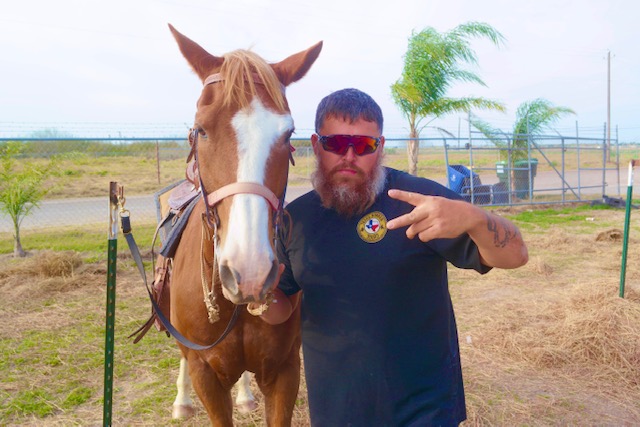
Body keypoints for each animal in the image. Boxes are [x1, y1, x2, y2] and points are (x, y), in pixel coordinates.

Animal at [168, 25, 322, 426]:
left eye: (289, 135)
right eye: (201, 130)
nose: (250, 272)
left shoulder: (285, 371)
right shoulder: (205, 375)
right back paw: (181, 401)